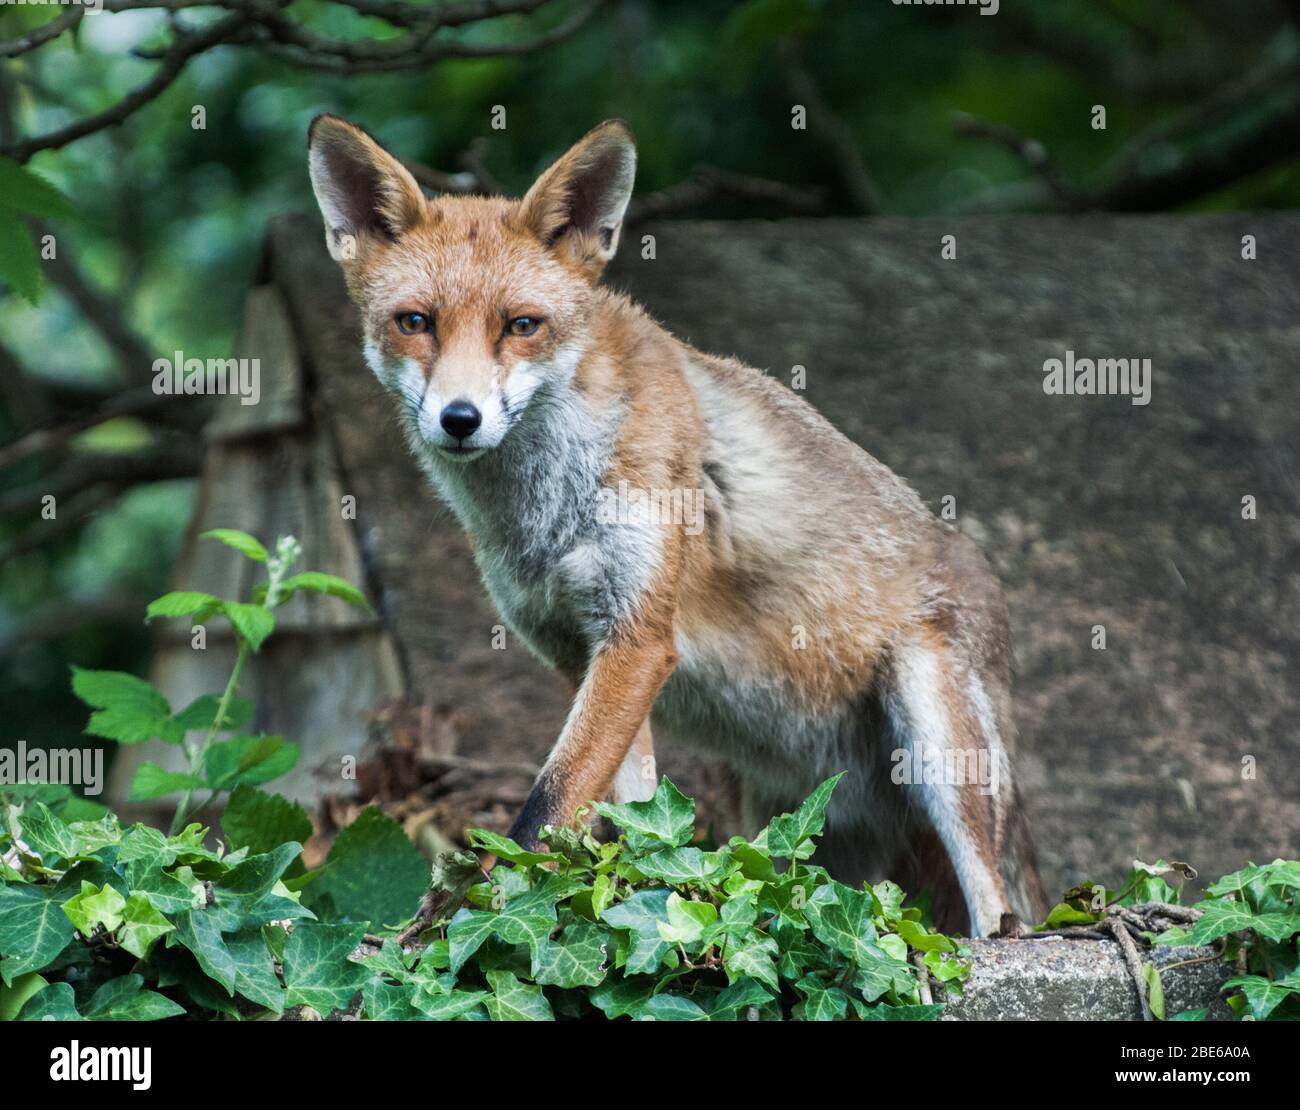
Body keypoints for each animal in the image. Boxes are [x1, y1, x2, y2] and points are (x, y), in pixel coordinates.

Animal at [306, 115, 1045, 941]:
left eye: (521, 326)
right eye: (416, 323)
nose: (458, 419)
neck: (545, 509)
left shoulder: (637, 637)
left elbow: (546, 805)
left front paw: (475, 911)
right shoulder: (580, 651)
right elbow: (632, 811)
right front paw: (641, 898)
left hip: (939, 741)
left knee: (1001, 913)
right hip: (799, 823)